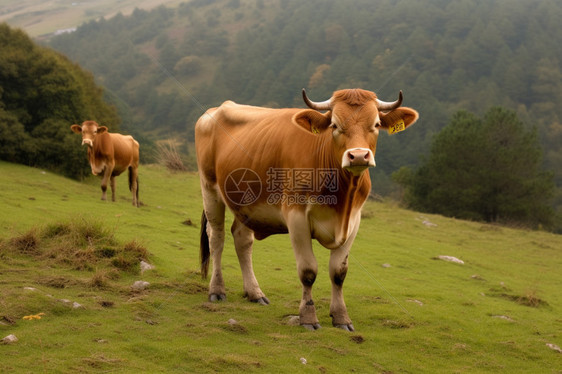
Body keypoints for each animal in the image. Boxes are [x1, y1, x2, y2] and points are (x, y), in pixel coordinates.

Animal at [195, 87, 418, 330]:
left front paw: (341, 318)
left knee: (242, 239)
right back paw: (217, 290)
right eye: (334, 125)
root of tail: (215, 110)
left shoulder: (354, 221)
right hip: (209, 188)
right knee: (216, 237)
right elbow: (308, 271)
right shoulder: (297, 217)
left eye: (376, 124)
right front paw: (308, 318)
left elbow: (339, 272)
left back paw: (255, 293)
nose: (358, 155)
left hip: (246, 205)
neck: (341, 199)